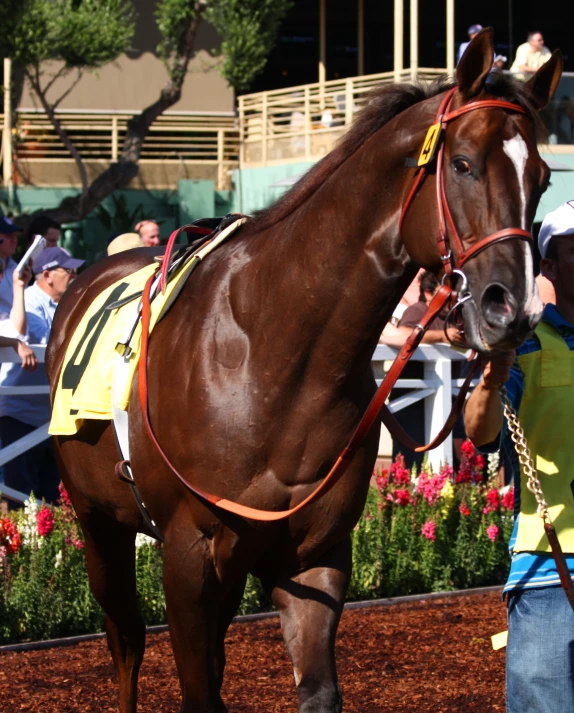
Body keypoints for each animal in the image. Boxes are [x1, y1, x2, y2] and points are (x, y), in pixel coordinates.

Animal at [48, 30, 564, 712]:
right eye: (462, 164)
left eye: (543, 177)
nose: (515, 307)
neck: (275, 358)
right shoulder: (188, 552)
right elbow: (196, 689)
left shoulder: (313, 555)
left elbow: (315, 689)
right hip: (96, 520)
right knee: (126, 639)